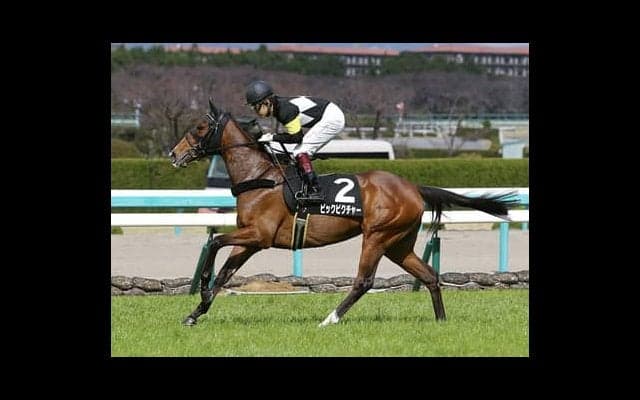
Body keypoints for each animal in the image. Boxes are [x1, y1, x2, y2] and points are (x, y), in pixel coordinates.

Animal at [169, 99, 517, 327]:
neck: (260, 176)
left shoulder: (260, 235)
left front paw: (201, 288)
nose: (173, 154)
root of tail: (413, 188)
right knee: (429, 275)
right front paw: (195, 312)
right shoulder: (250, 240)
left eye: (200, 127)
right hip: (398, 243)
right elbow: (225, 271)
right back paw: (441, 321)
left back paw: (330, 319)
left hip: (377, 236)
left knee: (363, 281)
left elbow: (215, 242)